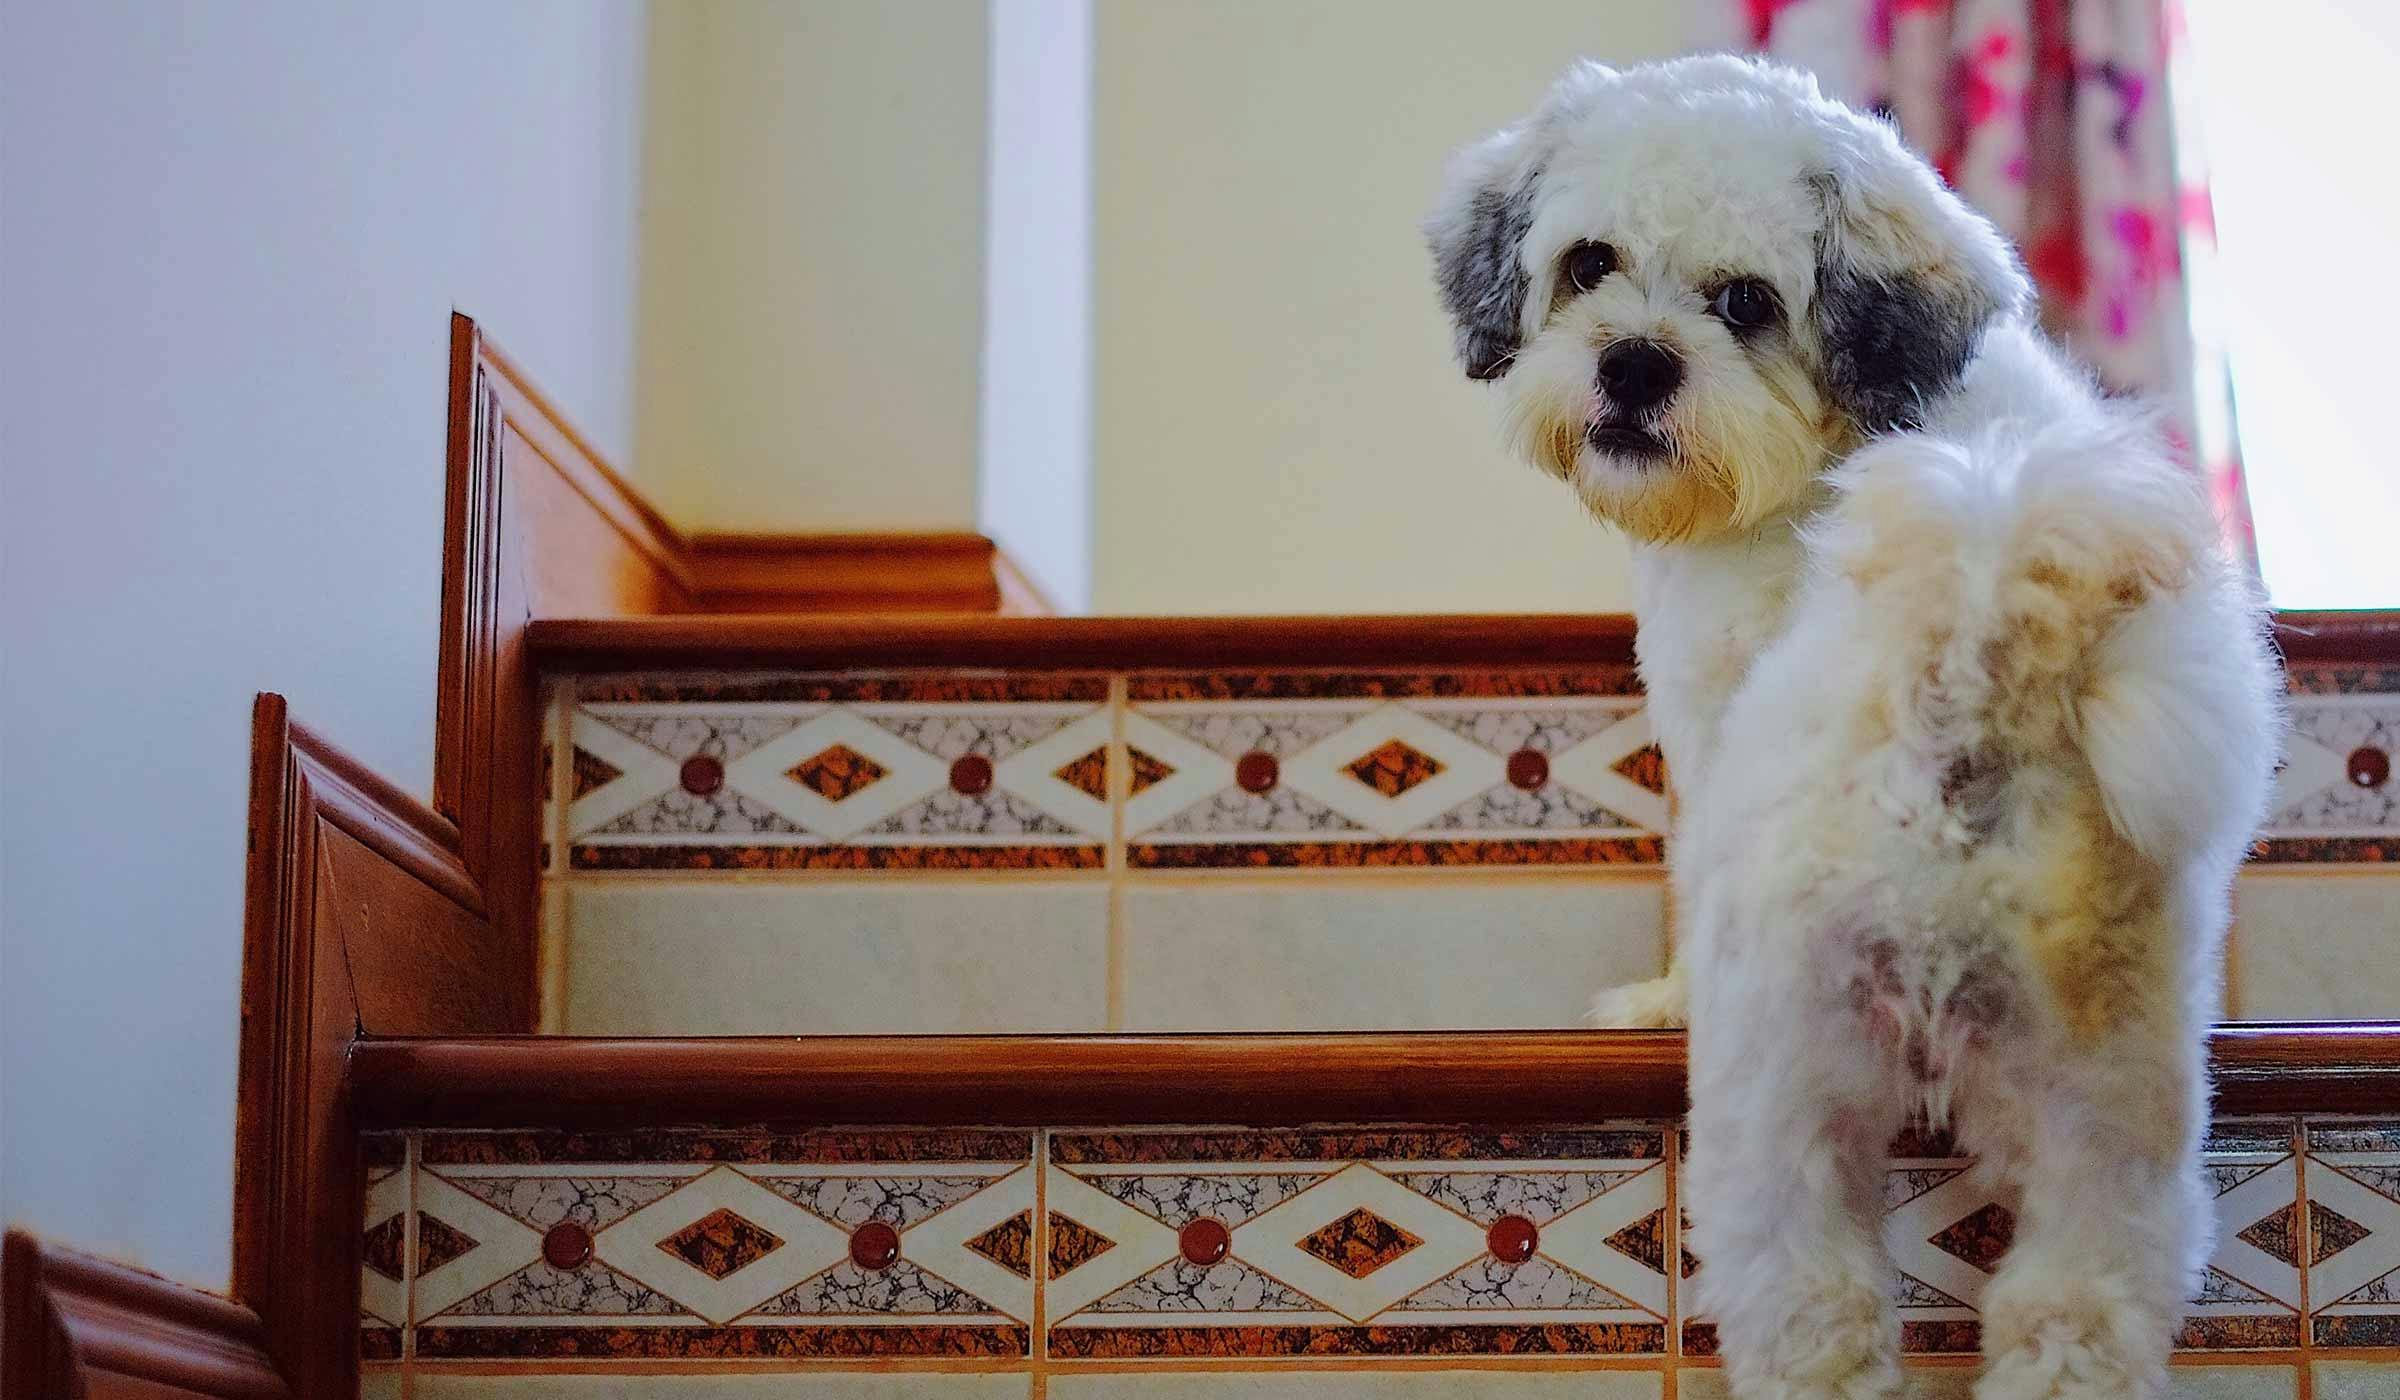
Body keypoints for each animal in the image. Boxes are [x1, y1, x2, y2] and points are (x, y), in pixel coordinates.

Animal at [1430, 57, 2275, 1400]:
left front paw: (1660, 996)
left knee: (1813, 1297)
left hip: (1783, 1089)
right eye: (1588, 263)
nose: (1635, 365)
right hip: (2113, 1109)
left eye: (1745, 302)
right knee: (2075, 1301)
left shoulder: (1716, 718)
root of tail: (1973, 683)